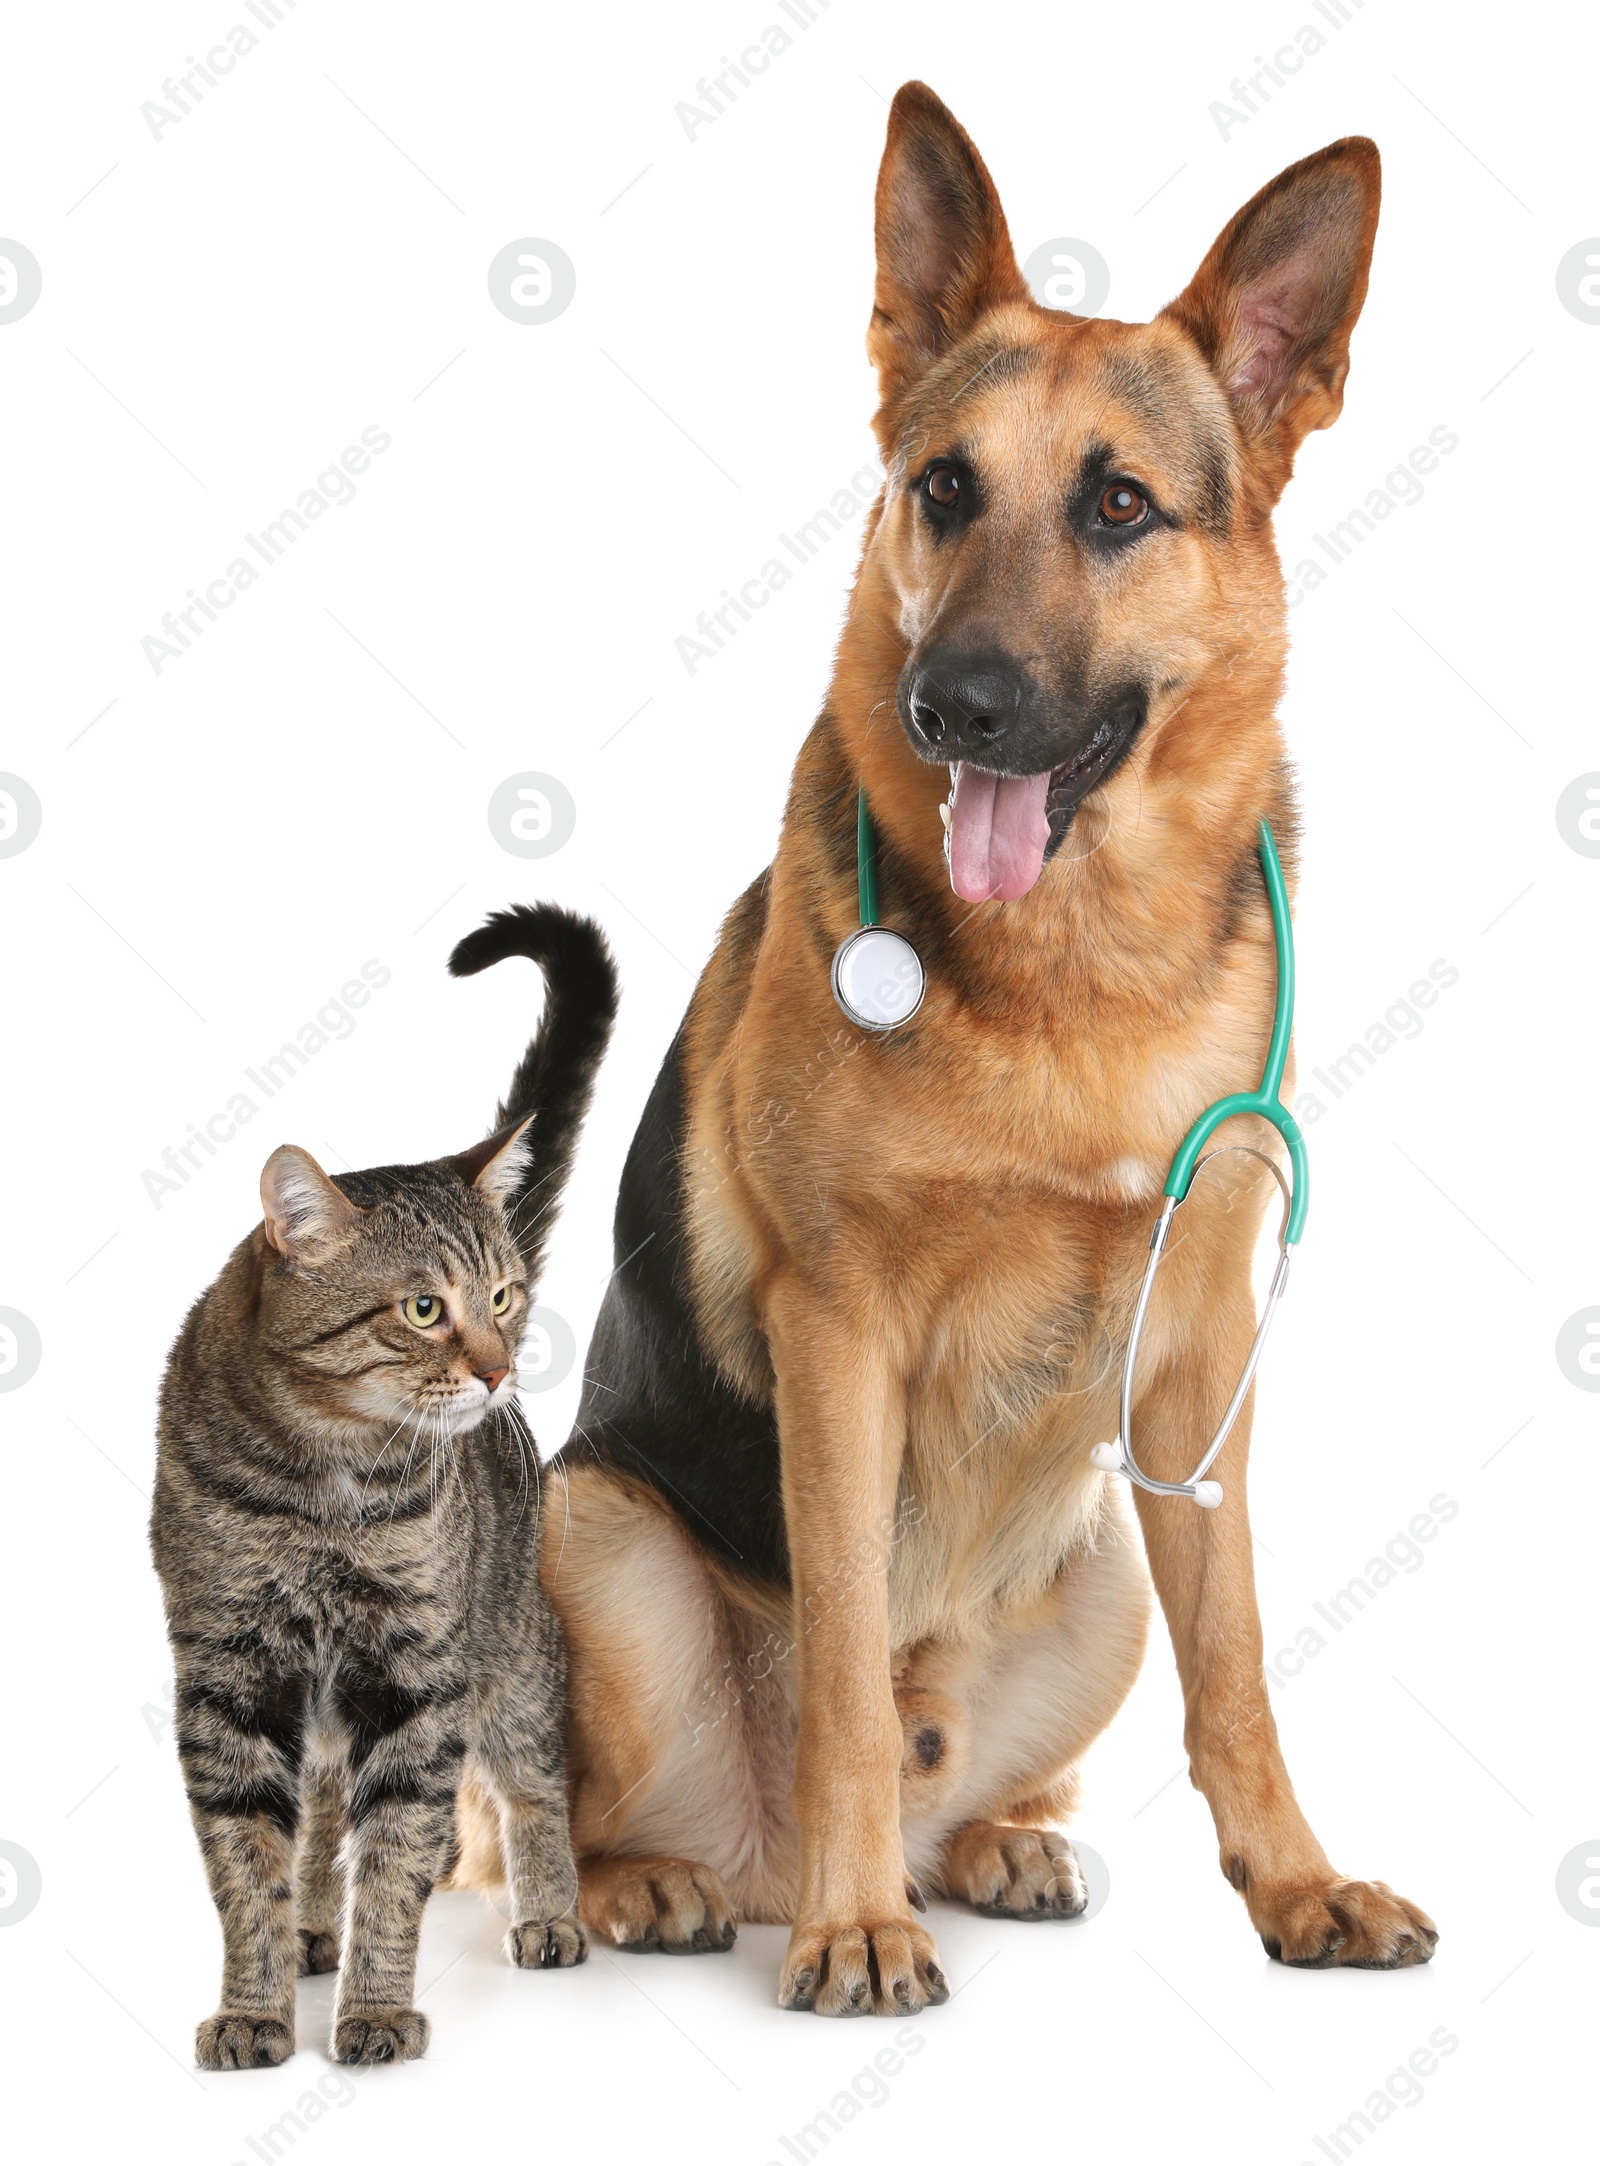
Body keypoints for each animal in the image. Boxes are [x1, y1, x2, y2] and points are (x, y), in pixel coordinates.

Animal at [153, 905, 619, 2070]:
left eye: (500, 1296)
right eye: (420, 1308)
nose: (498, 1369)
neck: (322, 1483)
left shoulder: (419, 1676)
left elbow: (402, 1857)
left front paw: (372, 2008)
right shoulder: (226, 1674)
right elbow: (247, 1868)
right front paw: (257, 2007)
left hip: (511, 1648)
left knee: (533, 1781)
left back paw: (549, 1912)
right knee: (321, 1808)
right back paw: (314, 1927)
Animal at [500, 84, 1437, 2010]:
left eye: (1121, 505)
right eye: (945, 488)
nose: (958, 708)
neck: (1077, 973)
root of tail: (751, 1858)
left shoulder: (1199, 1369)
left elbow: (1242, 1676)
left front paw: (1298, 1884)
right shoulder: (838, 1338)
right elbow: (851, 1672)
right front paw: (859, 1932)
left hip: (1105, 1567)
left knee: (990, 1765)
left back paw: (986, 1844)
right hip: (595, 1531)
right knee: (571, 1806)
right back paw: (690, 1885)